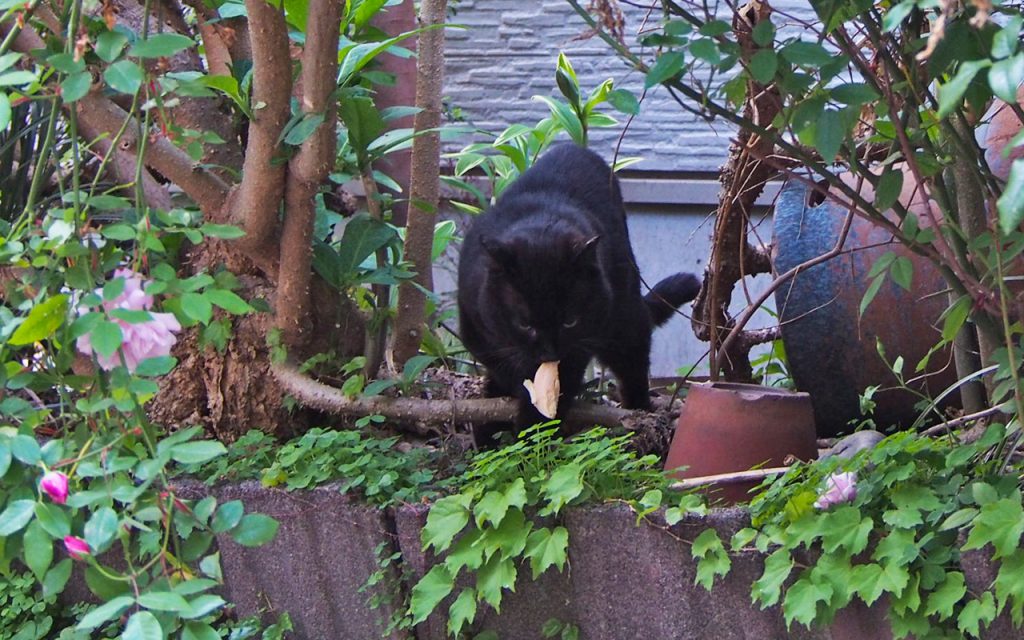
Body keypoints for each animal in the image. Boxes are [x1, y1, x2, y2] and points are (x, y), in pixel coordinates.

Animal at [458, 143, 704, 438]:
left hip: (624, 319)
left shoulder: (581, 341)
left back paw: (640, 414)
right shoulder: (476, 332)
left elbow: (558, 387)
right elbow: (503, 367)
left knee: (633, 365)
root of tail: (575, 147)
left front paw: (534, 426)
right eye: (524, 324)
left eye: (569, 321)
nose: (550, 353)